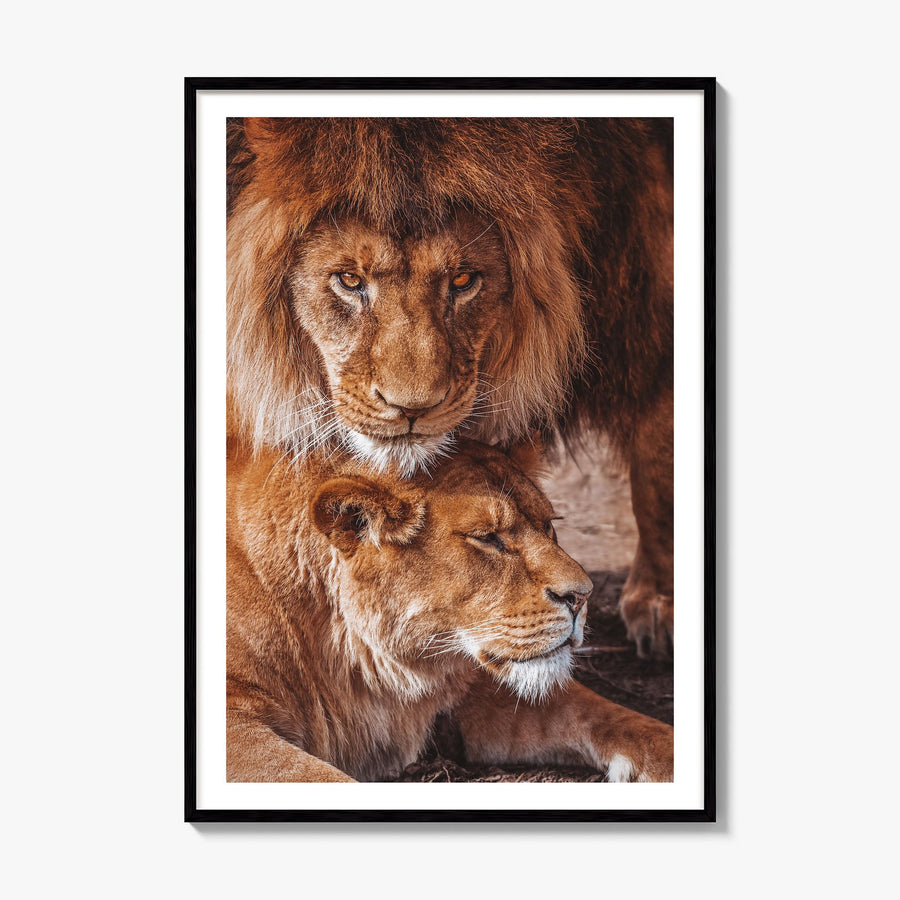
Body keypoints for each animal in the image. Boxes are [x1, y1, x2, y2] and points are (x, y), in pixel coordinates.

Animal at [227, 439, 673, 782]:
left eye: (548, 525)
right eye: (487, 537)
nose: (583, 596)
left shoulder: (472, 687)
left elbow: (616, 718)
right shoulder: (235, 724)